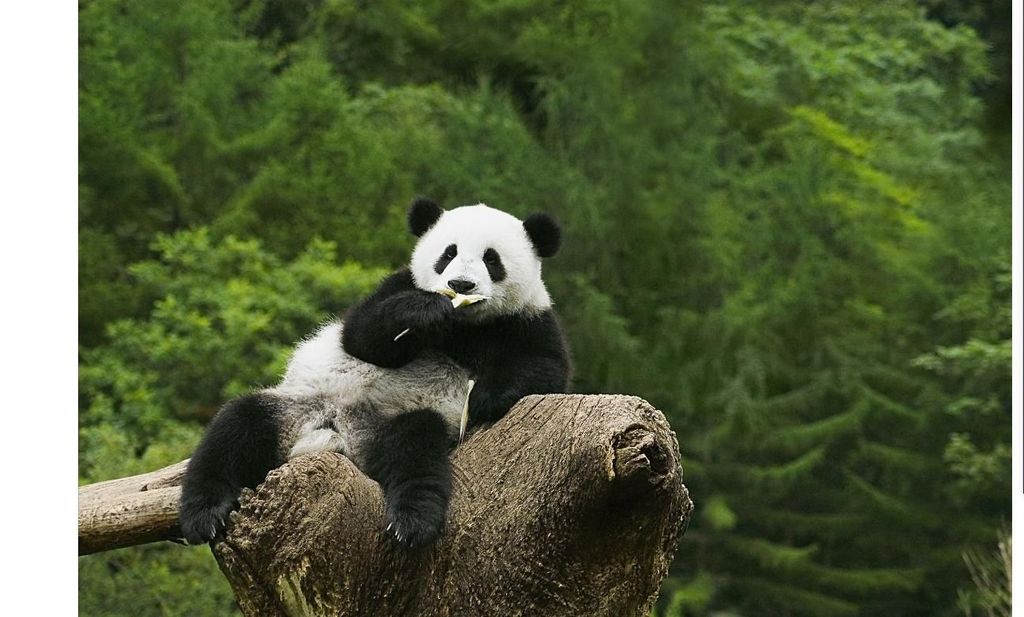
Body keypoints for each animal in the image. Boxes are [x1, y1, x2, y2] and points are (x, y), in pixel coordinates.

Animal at [179, 198, 572, 548]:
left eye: (492, 259)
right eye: (448, 254)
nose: (460, 285)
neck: (464, 325)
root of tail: (338, 431)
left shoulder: (527, 320)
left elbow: (545, 369)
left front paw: (484, 397)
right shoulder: (397, 285)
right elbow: (361, 334)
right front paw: (424, 312)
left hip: (394, 422)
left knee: (415, 451)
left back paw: (412, 521)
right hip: (296, 406)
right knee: (236, 428)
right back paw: (205, 513)